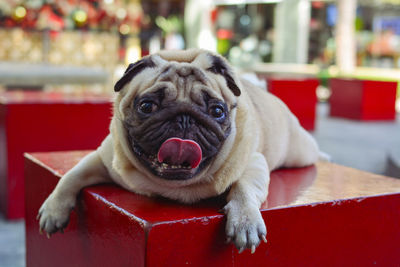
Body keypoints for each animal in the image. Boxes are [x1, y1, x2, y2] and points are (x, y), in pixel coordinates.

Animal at [38, 49, 322, 253]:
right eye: (147, 106)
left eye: (217, 111)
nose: (184, 118)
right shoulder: (103, 158)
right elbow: (71, 176)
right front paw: (53, 209)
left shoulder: (253, 162)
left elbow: (244, 188)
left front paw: (245, 220)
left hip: (299, 152)